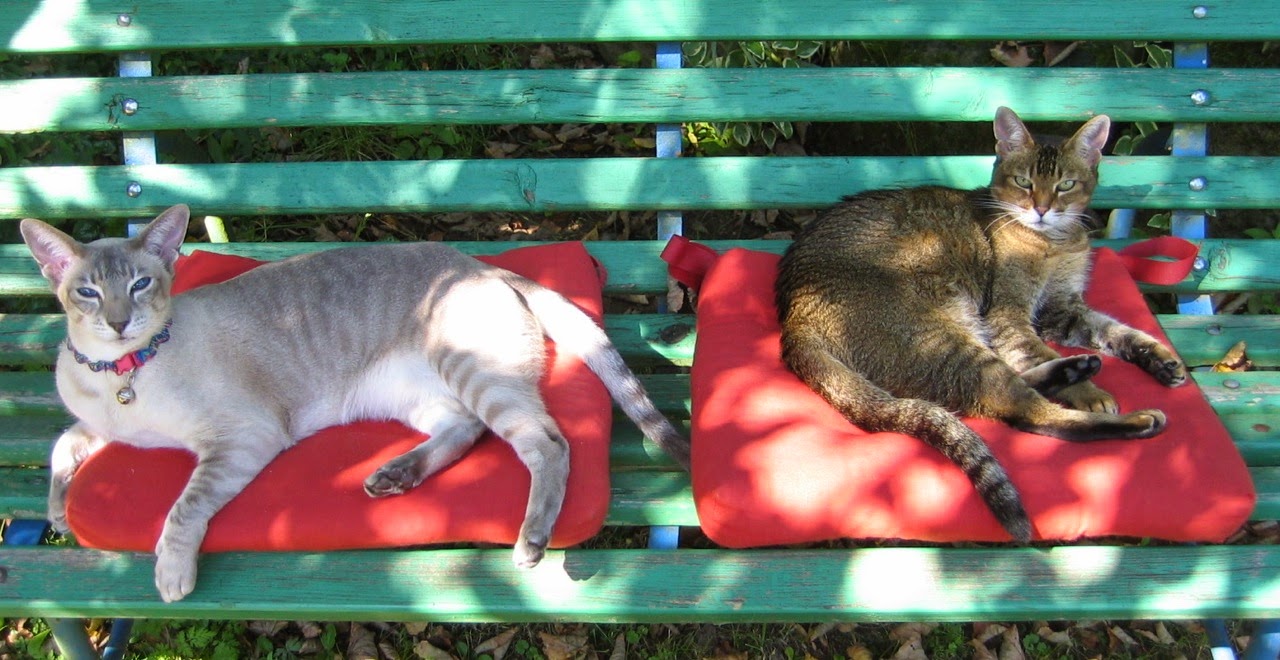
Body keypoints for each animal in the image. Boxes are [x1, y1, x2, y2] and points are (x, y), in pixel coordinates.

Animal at [21, 204, 691, 602]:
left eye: (140, 284)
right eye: (87, 292)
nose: (118, 322)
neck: (122, 376)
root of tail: (481, 264)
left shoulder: (240, 440)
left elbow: (182, 510)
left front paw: (170, 575)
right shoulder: (97, 424)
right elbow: (61, 445)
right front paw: (58, 515)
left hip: (473, 373)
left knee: (546, 442)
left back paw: (530, 540)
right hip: (416, 397)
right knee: (466, 430)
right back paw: (394, 475)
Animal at [774, 106, 1187, 542]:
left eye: (1065, 185)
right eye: (1024, 182)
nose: (1042, 209)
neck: (1054, 240)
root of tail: (796, 312)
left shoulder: (1062, 310)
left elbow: (1115, 330)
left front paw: (1160, 359)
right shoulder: (1009, 315)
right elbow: (1041, 350)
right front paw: (1093, 393)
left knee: (1011, 394)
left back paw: (1078, 369)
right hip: (941, 339)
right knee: (1025, 411)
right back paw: (1126, 411)